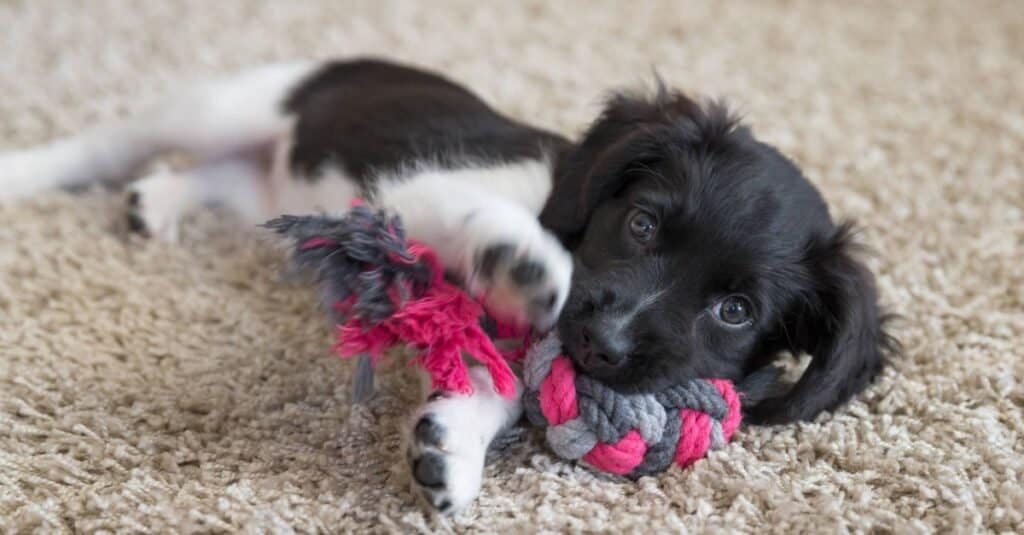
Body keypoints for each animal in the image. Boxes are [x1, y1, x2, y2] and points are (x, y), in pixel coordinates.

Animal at [0, 58, 897, 512]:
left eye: (735, 310)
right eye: (642, 223)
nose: (601, 342)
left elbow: (498, 379)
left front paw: (449, 448)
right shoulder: (416, 192)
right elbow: (489, 222)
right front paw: (522, 260)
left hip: (272, 188)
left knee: (220, 177)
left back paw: (161, 200)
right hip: (229, 104)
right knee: (113, 140)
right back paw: (26, 172)